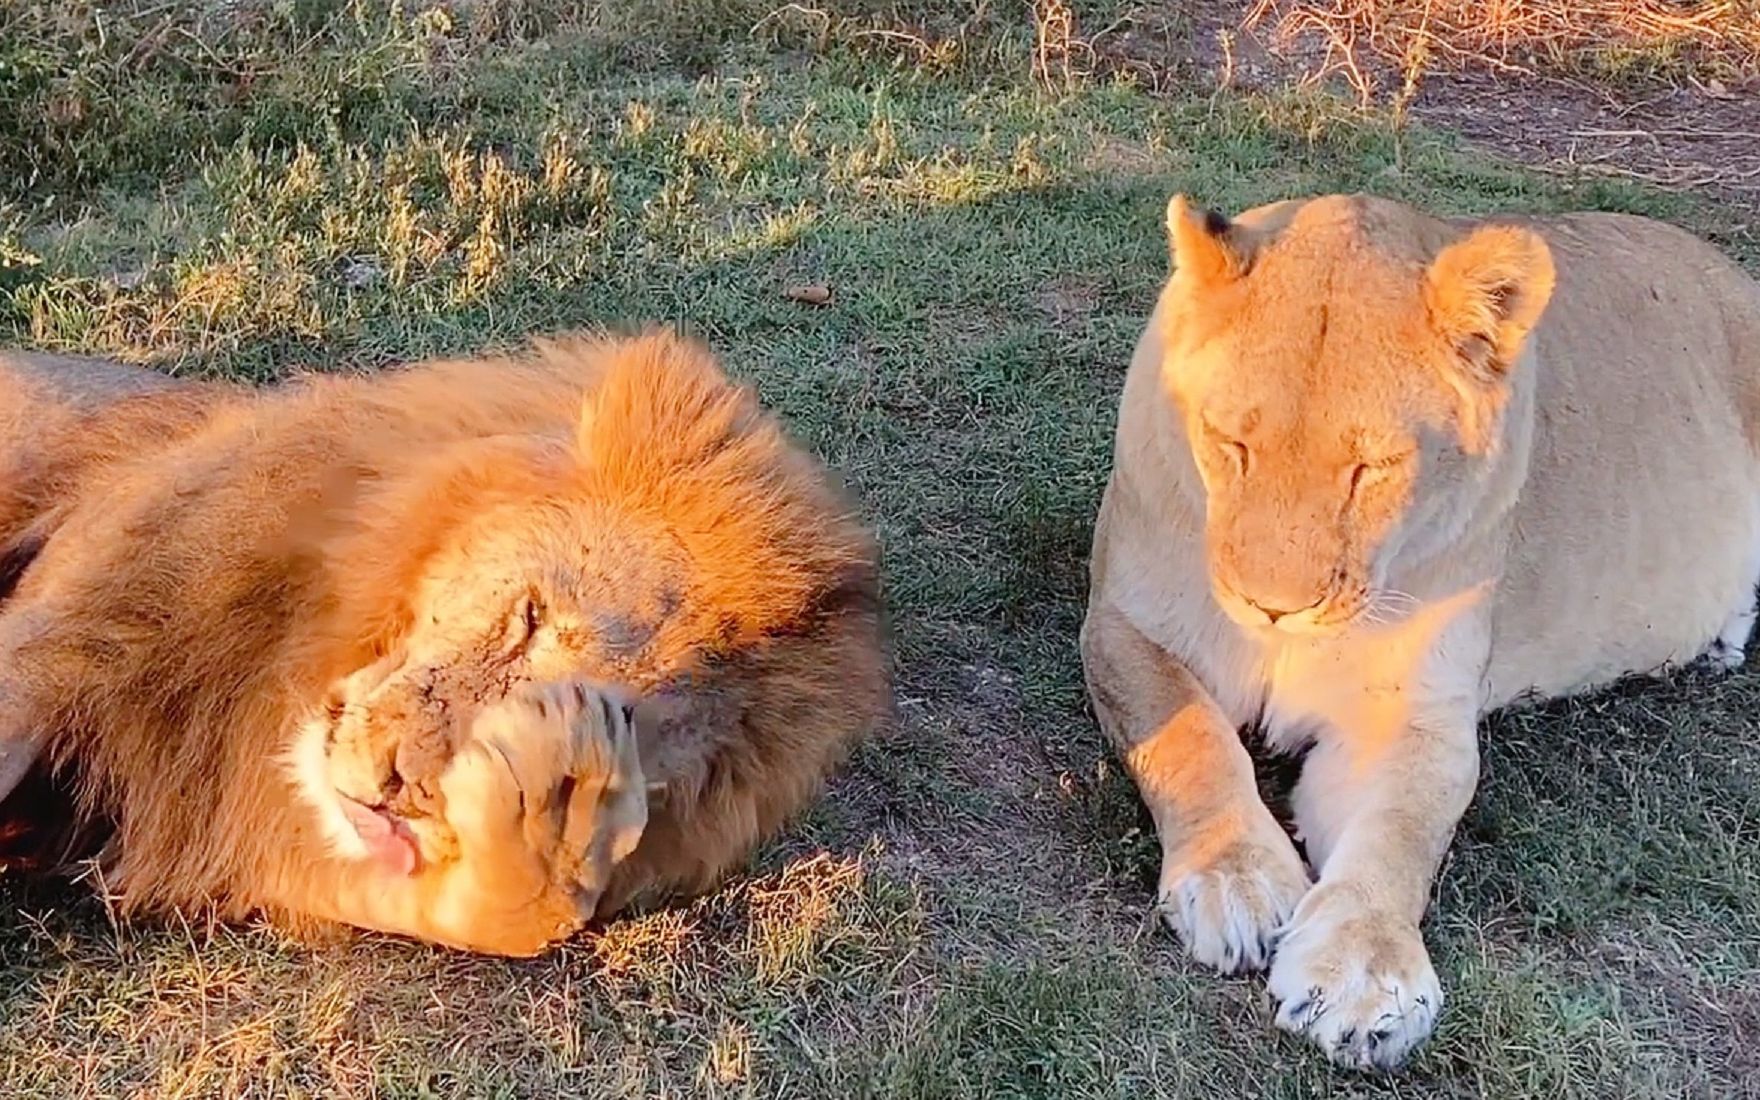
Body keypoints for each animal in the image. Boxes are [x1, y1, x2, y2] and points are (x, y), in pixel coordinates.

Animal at [1077, 192, 1760, 1070]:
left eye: (1372, 469)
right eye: (1232, 445)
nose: (1273, 608)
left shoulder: (1411, 716)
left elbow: (1402, 830)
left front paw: (1366, 980)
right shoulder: (1124, 625)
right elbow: (1191, 739)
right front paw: (1236, 882)